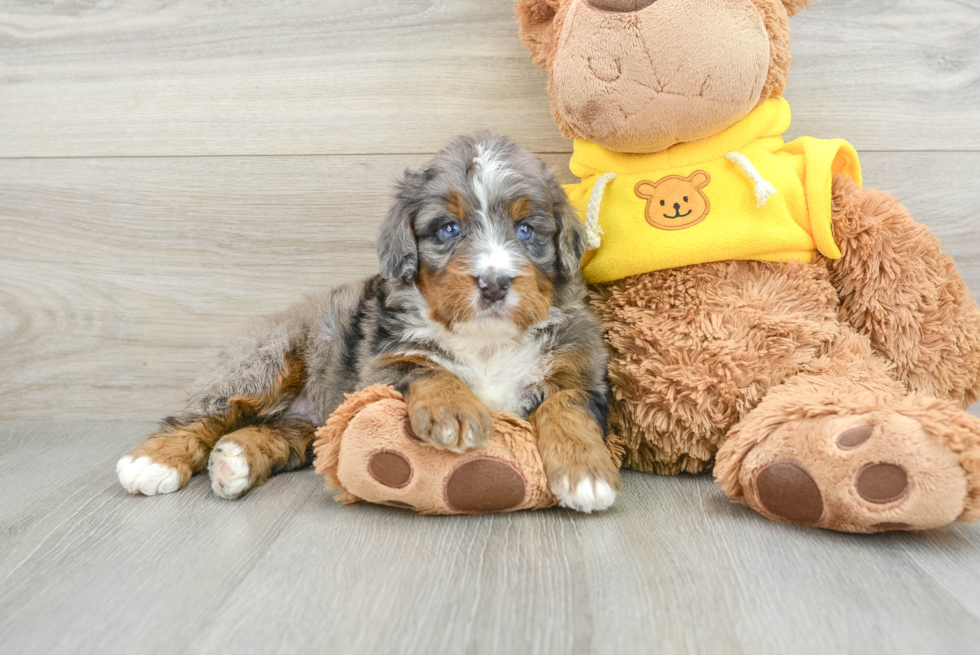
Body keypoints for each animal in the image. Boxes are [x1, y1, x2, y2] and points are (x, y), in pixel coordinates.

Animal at [115, 133, 620, 512]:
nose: (494, 283)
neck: (486, 343)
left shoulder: (580, 366)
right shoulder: (382, 359)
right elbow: (429, 367)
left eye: (526, 230)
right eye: (448, 230)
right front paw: (455, 412)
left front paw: (586, 474)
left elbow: (568, 407)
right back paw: (152, 462)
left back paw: (235, 461)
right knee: (202, 414)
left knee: (281, 435)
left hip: (310, 423)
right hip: (266, 359)